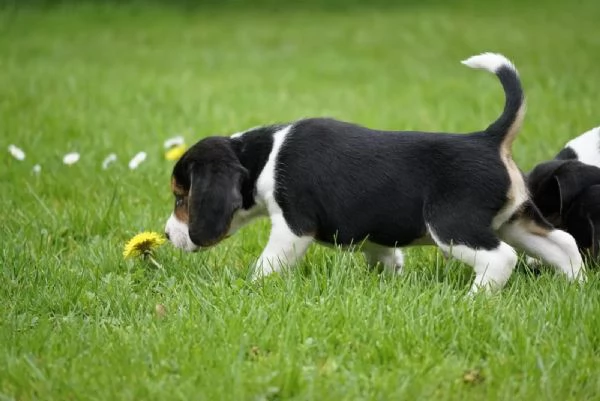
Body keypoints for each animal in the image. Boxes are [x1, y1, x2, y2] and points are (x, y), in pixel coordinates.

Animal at [163, 52, 580, 290]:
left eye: (181, 198)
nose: (166, 235)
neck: (263, 156)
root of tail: (489, 138)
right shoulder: (371, 233)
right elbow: (384, 255)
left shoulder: (292, 226)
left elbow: (269, 263)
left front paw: (252, 287)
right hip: (516, 220)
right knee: (564, 244)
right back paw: (575, 288)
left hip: (453, 226)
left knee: (501, 258)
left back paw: (473, 301)